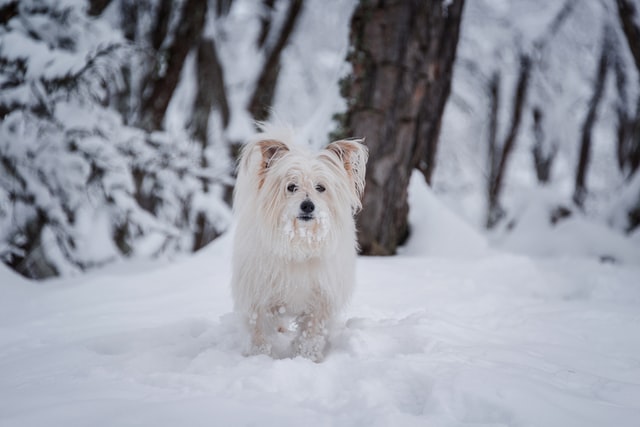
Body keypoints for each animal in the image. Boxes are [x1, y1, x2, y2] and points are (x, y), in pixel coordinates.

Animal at [232, 124, 368, 362]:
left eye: (320, 187)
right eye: (291, 186)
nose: (307, 206)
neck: (299, 243)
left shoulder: (320, 301)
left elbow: (310, 335)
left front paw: (306, 358)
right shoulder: (257, 297)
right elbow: (258, 332)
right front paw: (259, 358)